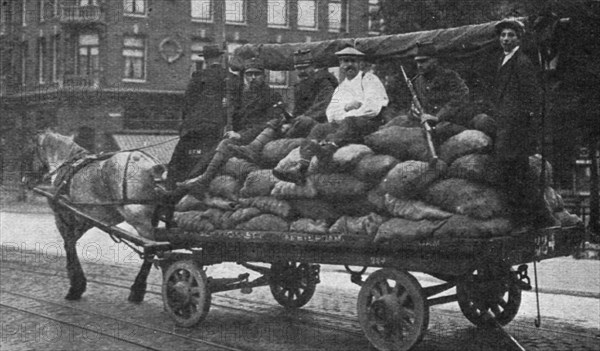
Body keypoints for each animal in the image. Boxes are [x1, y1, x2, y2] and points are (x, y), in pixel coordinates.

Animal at [27, 129, 163, 302]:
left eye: (31, 150)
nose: (25, 179)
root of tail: (151, 163)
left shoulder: (63, 216)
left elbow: (69, 245)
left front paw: (75, 287)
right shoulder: (85, 219)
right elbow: (71, 243)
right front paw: (78, 283)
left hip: (140, 220)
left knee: (152, 250)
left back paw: (138, 290)